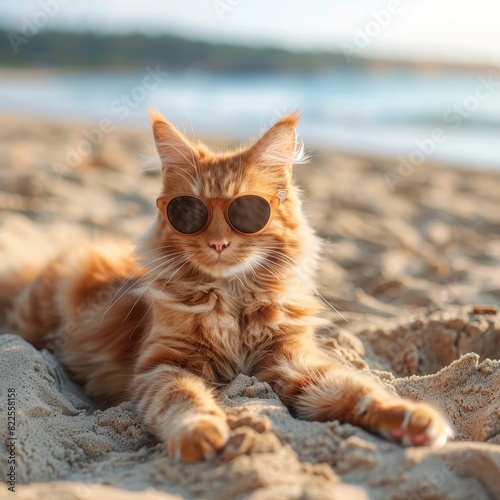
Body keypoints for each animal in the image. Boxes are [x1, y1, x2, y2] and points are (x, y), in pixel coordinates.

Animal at [3, 110, 452, 460]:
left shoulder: (290, 359)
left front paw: (411, 420)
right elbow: (184, 398)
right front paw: (200, 432)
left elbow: (355, 388)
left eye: (247, 212)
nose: (219, 243)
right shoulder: (164, 364)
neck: (233, 300)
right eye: (190, 213)